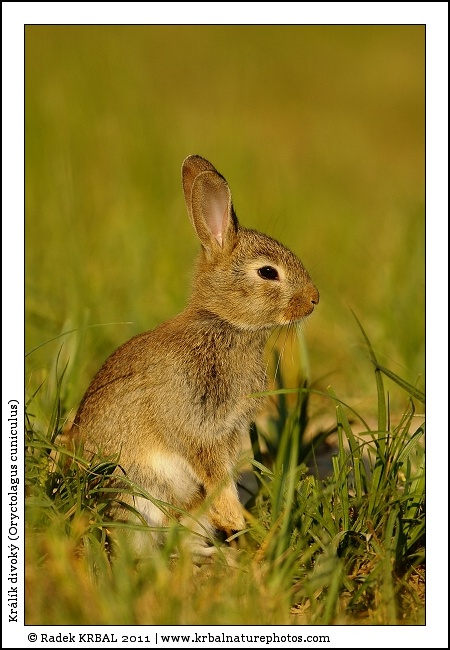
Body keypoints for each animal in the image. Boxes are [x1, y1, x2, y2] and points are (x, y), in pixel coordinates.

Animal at [73, 154, 319, 558]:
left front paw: (238, 522)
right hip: (138, 497)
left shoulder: (230, 431)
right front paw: (237, 519)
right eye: (268, 272)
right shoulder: (196, 427)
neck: (225, 324)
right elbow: (213, 473)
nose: (315, 299)